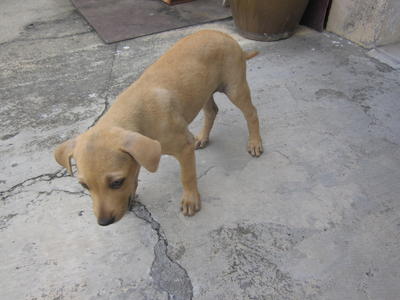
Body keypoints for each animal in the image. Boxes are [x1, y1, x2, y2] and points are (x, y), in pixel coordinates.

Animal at [54, 29, 264, 225]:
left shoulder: (183, 147)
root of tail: (224, 34)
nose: (104, 223)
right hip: (203, 90)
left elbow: (187, 176)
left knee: (251, 113)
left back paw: (255, 142)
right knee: (212, 111)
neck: (137, 113)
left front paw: (190, 199)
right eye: (84, 186)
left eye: (117, 182)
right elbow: (136, 170)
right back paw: (203, 137)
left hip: (234, 87)